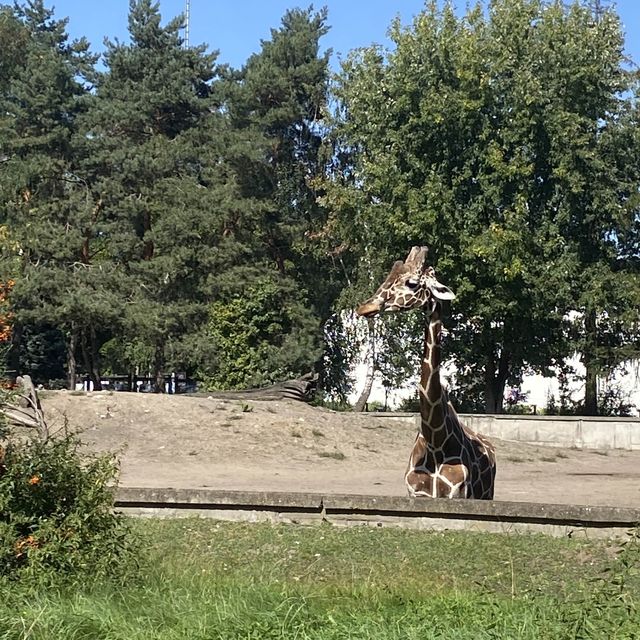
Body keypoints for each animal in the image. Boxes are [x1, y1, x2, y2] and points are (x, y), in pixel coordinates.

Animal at [358, 246, 498, 500]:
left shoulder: (456, 495)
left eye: (412, 283)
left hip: (486, 495)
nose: (365, 308)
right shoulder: (416, 495)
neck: (436, 443)